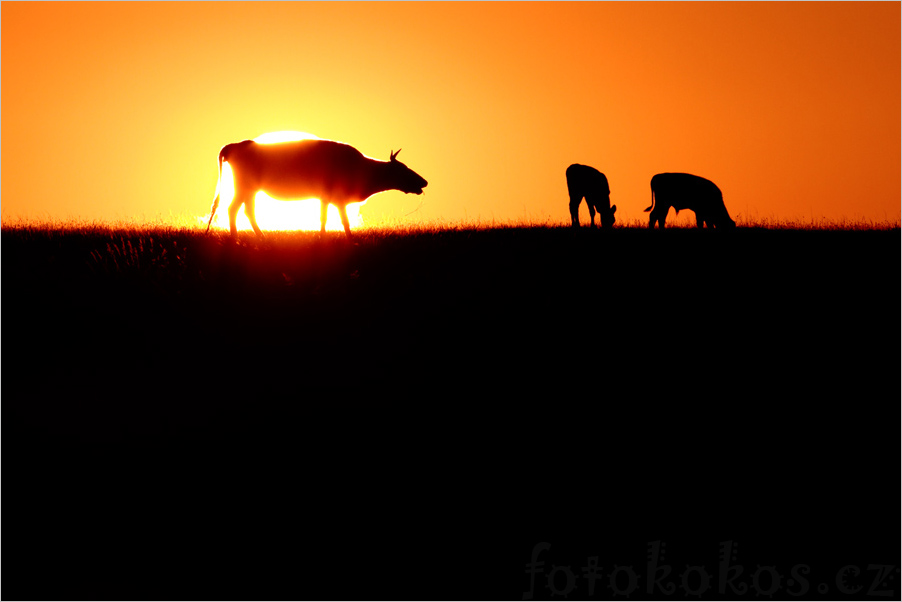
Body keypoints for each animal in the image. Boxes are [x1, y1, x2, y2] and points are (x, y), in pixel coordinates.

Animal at [207, 138, 430, 237]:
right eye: (403, 169)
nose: (424, 182)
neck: (361, 169)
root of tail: (236, 145)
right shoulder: (337, 198)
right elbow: (342, 221)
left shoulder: (328, 199)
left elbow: (327, 219)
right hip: (244, 187)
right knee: (234, 209)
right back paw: (237, 238)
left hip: (250, 190)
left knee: (247, 211)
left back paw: (261, 239)